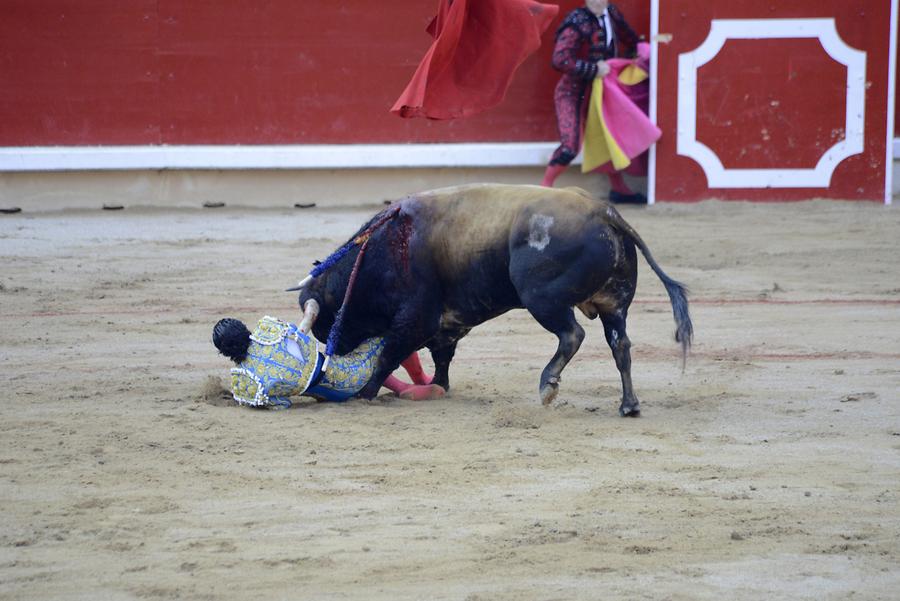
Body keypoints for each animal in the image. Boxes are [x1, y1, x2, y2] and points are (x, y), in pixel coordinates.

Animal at [292, 184, 692, 418]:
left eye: (327, 320)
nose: (334, 350)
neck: (378, 253)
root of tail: (604, 211)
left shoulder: (417, 316)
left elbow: (390, 353)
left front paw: (366, 392)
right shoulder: (447, 322)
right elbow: (441, 356)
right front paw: (439, 385)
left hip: (541, 298)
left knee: (572, 335)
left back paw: (547, 385)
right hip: (614, 304)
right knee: (620, 344)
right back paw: (629, 405)